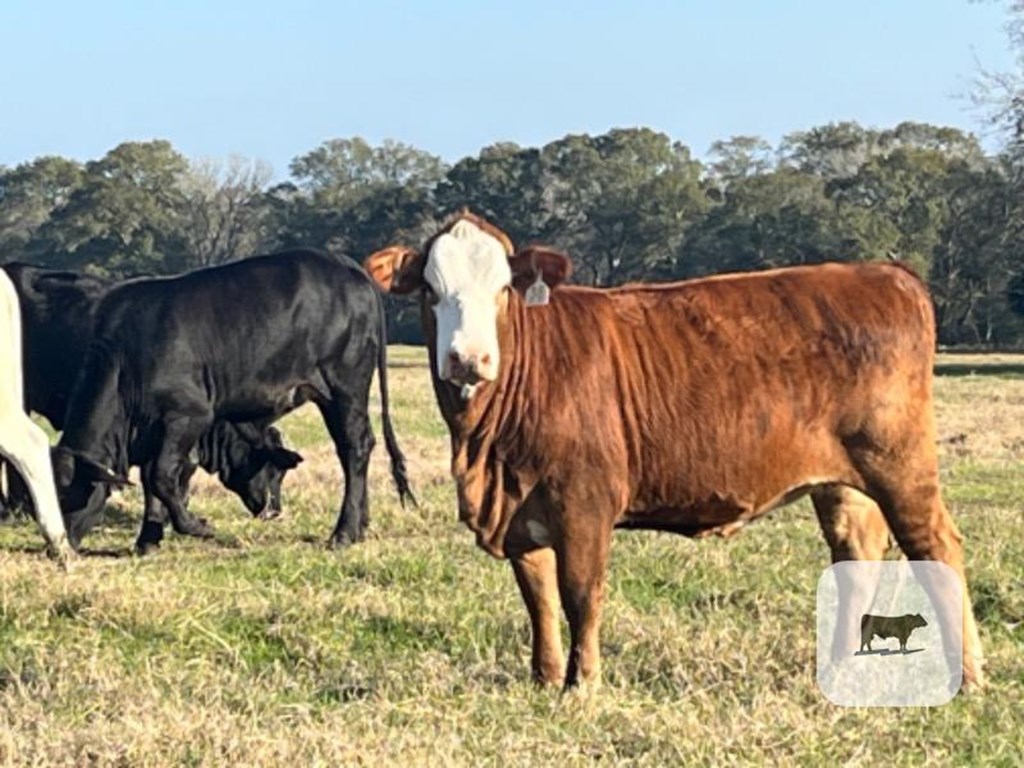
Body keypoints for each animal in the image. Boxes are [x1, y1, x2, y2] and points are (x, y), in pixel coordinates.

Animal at [51, 249, 411, 557]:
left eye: (69, 493)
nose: (60, 546)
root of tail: (348, 267)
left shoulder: (188, 416)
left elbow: (162, 477)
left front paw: (197, 526)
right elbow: (152, 480)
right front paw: (148, 541)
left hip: (344, 387)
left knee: (355, 447)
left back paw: (344, 532)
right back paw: (360, 526)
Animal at [366, 208, 983, 692]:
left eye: (502, 289)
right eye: (430, 290)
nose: (468, 359)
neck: (487, 453)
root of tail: (884, 272)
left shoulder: (584, 502)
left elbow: (580, 593)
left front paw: (581, 685)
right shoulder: (521, 507)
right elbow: (538, 596)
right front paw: (544, 679)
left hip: (900, 463)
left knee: (936, 545)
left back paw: (970, 676)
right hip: (841, 482)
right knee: (856, 554)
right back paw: (837, 668)